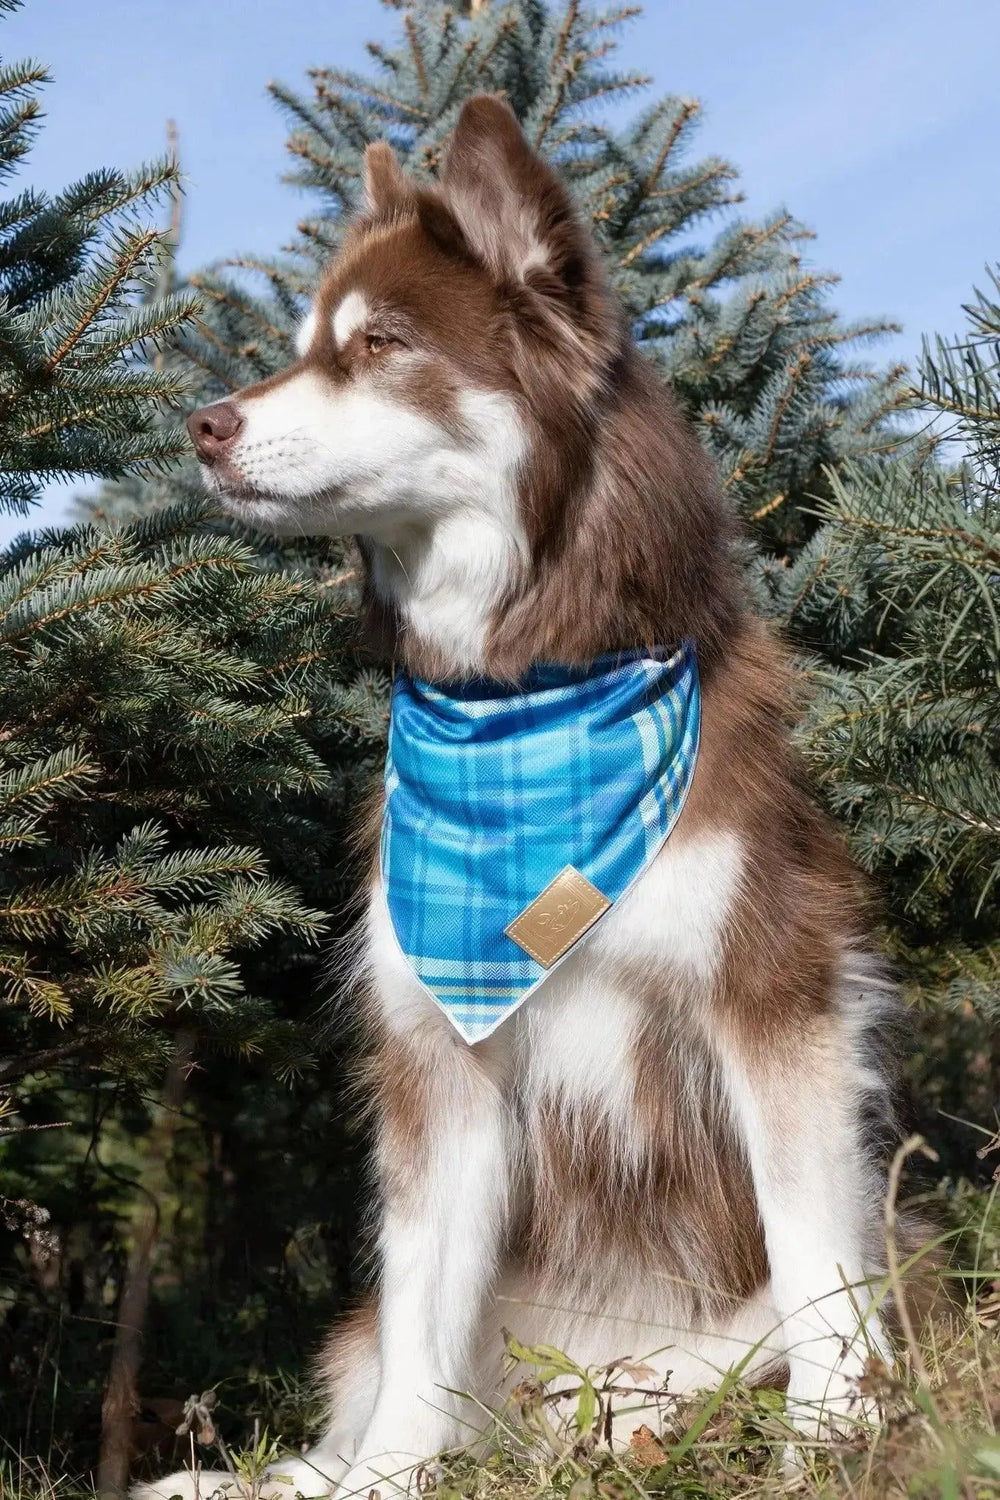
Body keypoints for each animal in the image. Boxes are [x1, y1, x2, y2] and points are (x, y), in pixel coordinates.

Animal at [140, 96, 917, 1500]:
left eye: (380, 345)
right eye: (303, 350)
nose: (203, 426)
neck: (528, 699)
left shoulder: (777, 1003)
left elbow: (815, 1256)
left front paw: (832, 1442)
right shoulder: (434, 1056)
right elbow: (420, 1320)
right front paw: (383, 1481)